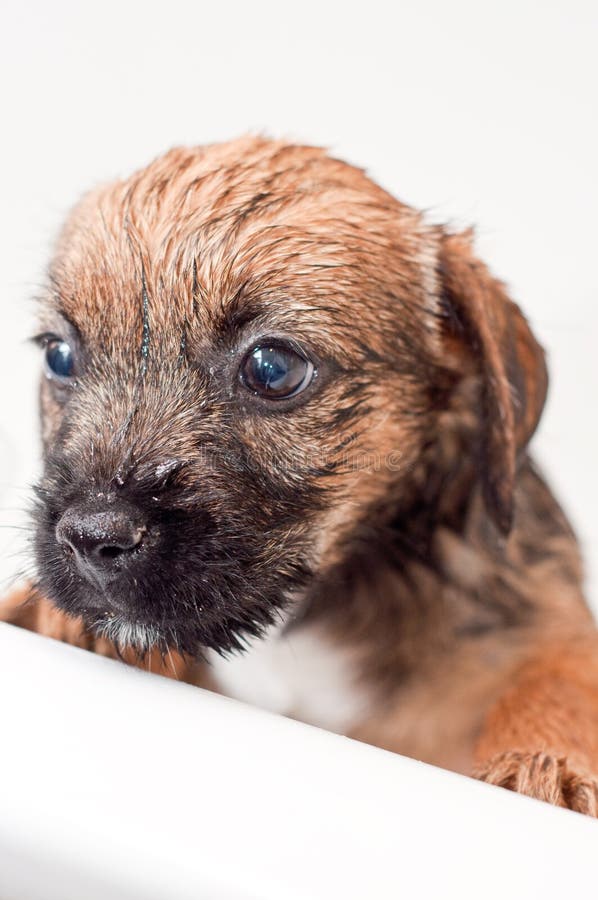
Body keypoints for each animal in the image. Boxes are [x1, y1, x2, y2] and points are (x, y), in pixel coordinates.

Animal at [4, 135, 598, 816]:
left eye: (273, 368)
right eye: (59, 356)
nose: (92, 535)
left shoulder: (544, 616)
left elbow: (557, 676)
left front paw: (544, 765)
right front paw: (51, 618)